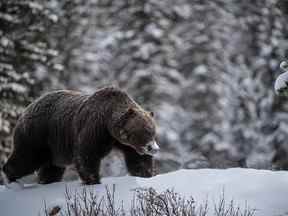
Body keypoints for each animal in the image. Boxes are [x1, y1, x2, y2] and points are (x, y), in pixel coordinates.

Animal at [1, 87, 159, 185]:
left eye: (153, 131)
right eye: (145, 130)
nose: (153, 148)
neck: (109, 123)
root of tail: (26, 108)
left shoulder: (123, 143)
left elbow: (138, 160)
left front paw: (145, 174)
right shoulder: (95, 128)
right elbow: (87, 154)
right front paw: (93, 180)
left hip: (54, 147)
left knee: (51, 168)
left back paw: (47, 181)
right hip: (38, 134)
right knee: (27, 157)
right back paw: (12, 178)